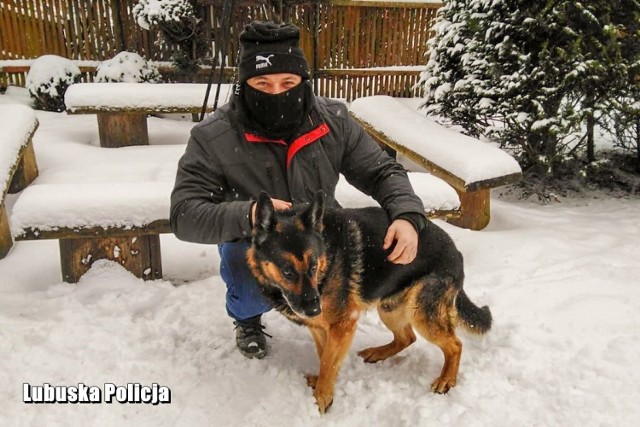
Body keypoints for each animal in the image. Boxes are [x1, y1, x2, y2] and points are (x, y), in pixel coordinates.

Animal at [248, 192, 492, 412]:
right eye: (287, 271)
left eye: (314, 265)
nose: (315, 309)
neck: (327, 255)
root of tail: (456, 252)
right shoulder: (319, 327)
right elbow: (324, 355)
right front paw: (321, 385)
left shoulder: (342, 325)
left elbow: (328, 362)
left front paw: (321, 399)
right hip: (389, 307)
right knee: (407, 337)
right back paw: (378, 353)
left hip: (421, 313)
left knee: (455, 344)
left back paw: (446, 380)